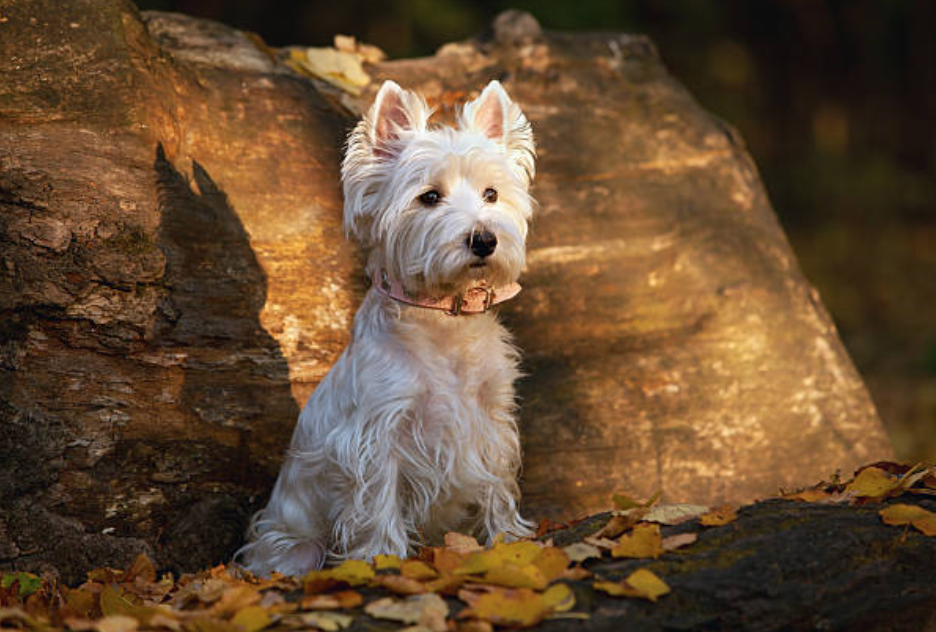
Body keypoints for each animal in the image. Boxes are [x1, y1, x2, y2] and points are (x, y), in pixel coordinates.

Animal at [238, 78, 536, 572]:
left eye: (492, 194)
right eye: (429, 197)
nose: (484, 239)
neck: (444, 319)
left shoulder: (492, 419)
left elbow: (498, 484)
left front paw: (511, 540)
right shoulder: (377, 435)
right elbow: (379, 500)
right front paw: (382, 559)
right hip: (295, 546)